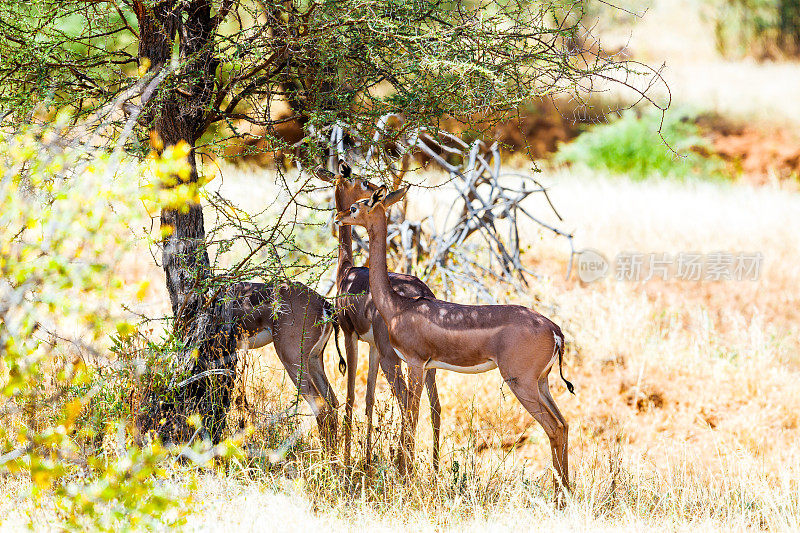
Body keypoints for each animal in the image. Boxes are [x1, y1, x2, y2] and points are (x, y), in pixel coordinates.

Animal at [312, 162, 440, 470]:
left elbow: (350, 396)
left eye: (363, 184)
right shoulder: (371, 346)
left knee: (407, 403)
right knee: (434, 407)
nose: (339, 217)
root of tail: (422, 291)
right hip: (424, 365)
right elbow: (369, 398)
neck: (347, 272)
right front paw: (367, 459)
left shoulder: (350, 336)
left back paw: (403, 465)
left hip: (392, 359)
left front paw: (348, 461)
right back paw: (432, 467)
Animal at [338, 185, 576, 496]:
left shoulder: (415, 364)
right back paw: (567, 492)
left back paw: (559, 496)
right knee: (564, 424)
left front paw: (406, 480)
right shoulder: (426, 368)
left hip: (521, 383)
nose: (339, 216)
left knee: (553, 428)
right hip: (542, 383)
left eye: (356, 207)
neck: (398, 306)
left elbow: (411, 418)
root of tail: (554, 329)